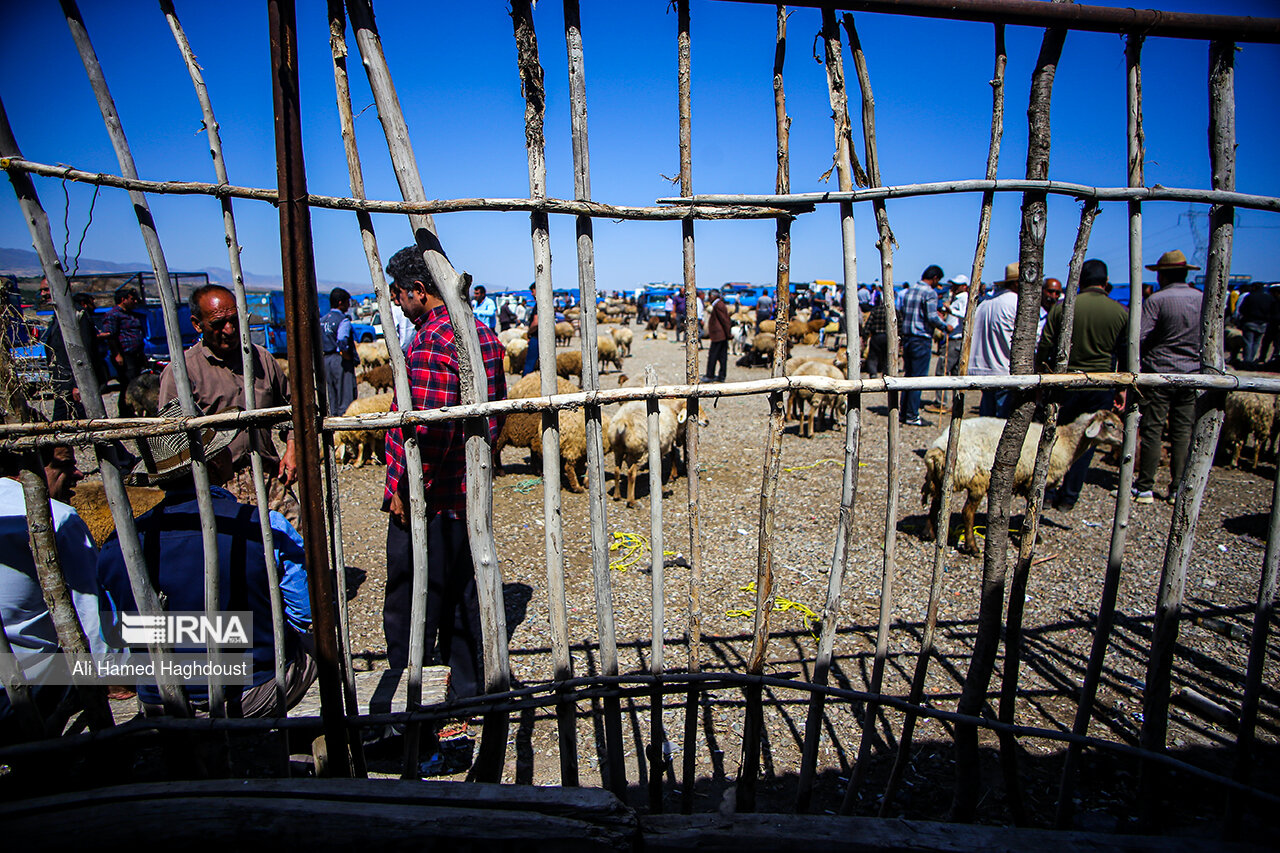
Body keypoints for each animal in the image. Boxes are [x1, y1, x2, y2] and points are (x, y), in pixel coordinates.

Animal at [916, 409, 1126, 555]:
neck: (1067, 443)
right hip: (978, 479)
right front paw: (1034, 536)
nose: (1124, 441)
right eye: (1110, 424)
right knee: (967, 512)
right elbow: (1033, 509)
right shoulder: (1036, 478)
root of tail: (938, 448)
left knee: (936, 502)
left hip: (942, 478)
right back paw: (972, 546)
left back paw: (929, 533)